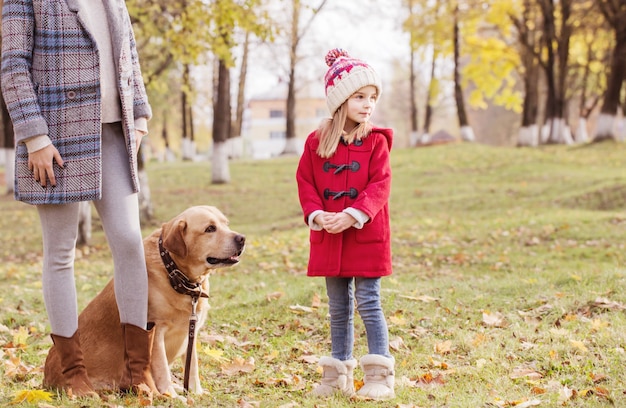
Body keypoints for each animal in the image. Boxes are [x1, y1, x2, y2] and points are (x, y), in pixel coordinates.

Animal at [43, 206, 244, 396]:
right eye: (210, 229)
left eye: (226, 224)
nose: (242, 238)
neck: (175, 274)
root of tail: (45, 380)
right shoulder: (157, 332)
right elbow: (162, 370)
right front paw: (171, 395)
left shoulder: (190, 333)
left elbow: (192, 366)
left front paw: (195, 393)